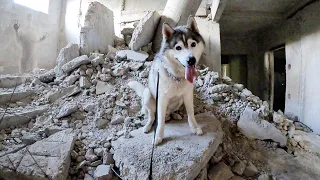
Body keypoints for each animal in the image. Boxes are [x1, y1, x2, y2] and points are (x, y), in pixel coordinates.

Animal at [127, 15, 205, 145]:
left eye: (193, 44)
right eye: (178, 48)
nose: (191, 60)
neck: (177, 76)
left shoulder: (187, 95)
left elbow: (191, 114)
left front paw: (195, 128)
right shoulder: (162, 98)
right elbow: (160, 120)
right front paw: (158, 136)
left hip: (179, 100)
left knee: (168, 113)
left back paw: (174, 115)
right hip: (148, 95)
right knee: (152, 116)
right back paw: (148, 126)